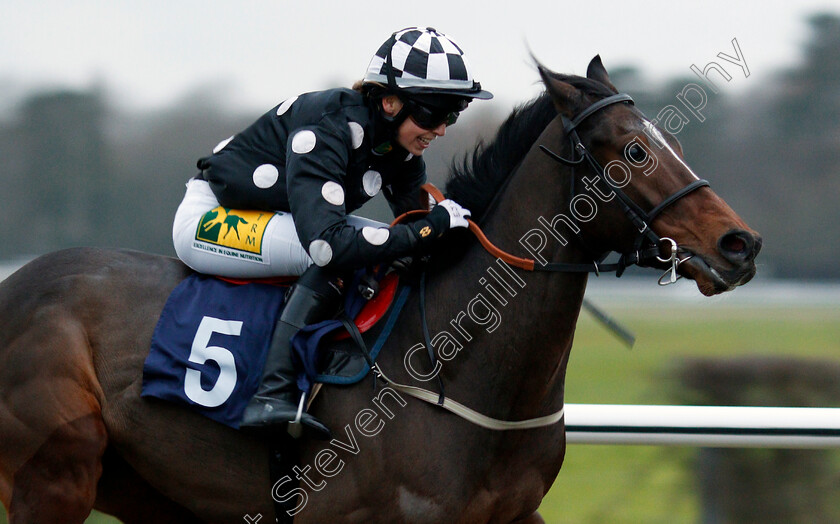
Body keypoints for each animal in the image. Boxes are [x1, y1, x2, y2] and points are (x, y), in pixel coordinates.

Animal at [0, 58, 760, 524]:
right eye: (634, 151)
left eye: (673, 143)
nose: (739, 245)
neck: (459, 370)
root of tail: (16, 284)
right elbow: (330, 240)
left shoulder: (514, 512)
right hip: (57, 474)